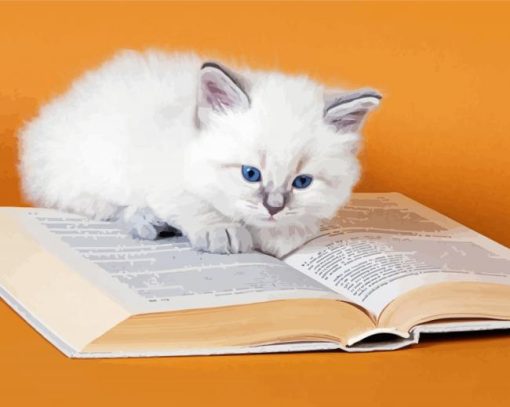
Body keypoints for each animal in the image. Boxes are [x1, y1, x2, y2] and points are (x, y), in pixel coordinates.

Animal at [17, 48, 380, 258]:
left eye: (302, 182)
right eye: (251, 174)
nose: (274, 207)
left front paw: (281, 233)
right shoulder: (165, 171)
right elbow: (195, 203)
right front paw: (223, 230)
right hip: (90, 170)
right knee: (113, 207)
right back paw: (149, 221)